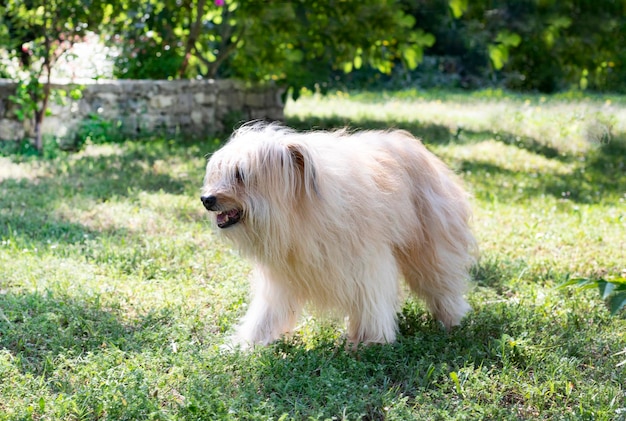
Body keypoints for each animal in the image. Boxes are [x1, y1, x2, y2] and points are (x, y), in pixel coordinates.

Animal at [202, 123, 476, 346]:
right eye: (220, 172)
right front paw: (247, 344)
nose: (206, 199)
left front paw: (369, 340)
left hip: (430, 245)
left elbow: (371, 300)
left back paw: (451, 319)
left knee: (440, 281)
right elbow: (265, 312)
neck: (300, 211)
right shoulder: (281, 278)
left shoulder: (367, 264)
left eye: (240, 175)